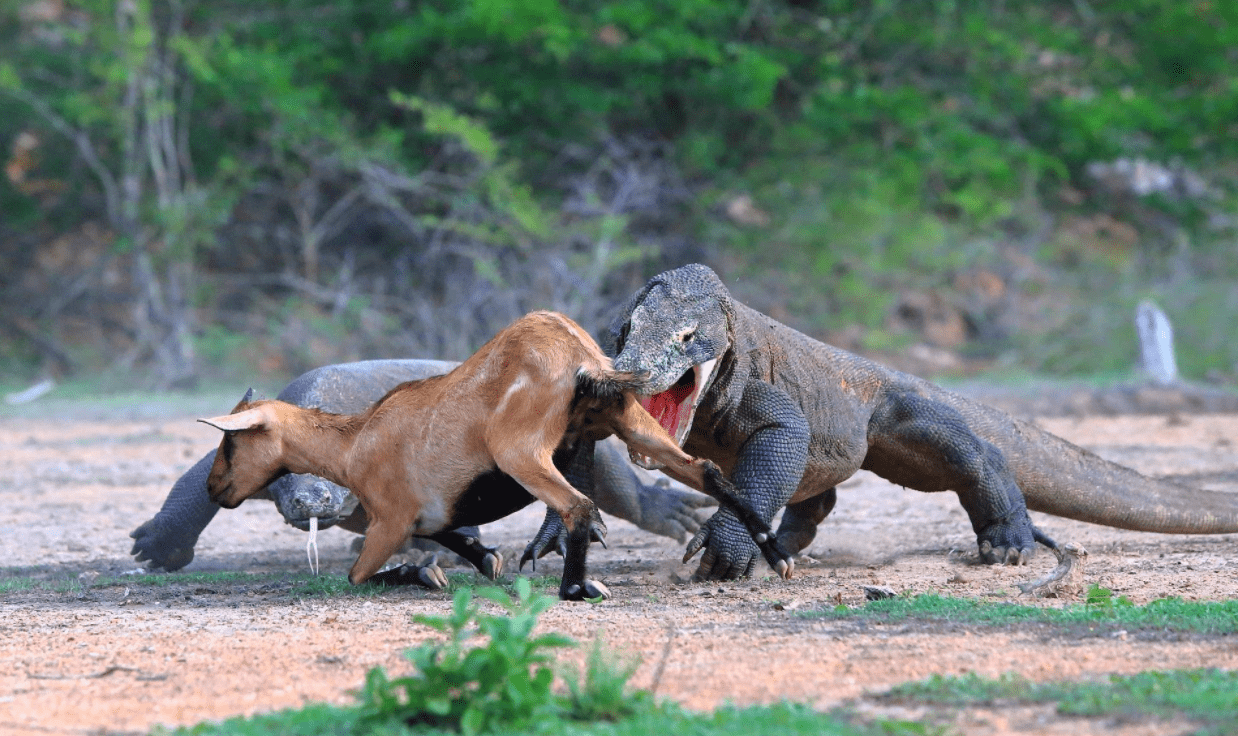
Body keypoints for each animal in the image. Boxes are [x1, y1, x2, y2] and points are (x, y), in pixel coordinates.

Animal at [198, 309, 787, 598]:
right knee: (707, 472)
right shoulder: (433, 512)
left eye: (231, 438)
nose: (213, 486)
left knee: (577, 506)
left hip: (521, 453)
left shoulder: (390, 518)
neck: (355, 441)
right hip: (635, 428)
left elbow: (359, 575)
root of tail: (579, 356)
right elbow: (449, 534)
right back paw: (775, 554)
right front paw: (486, 559)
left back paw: (577, 588)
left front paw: (428, 576)